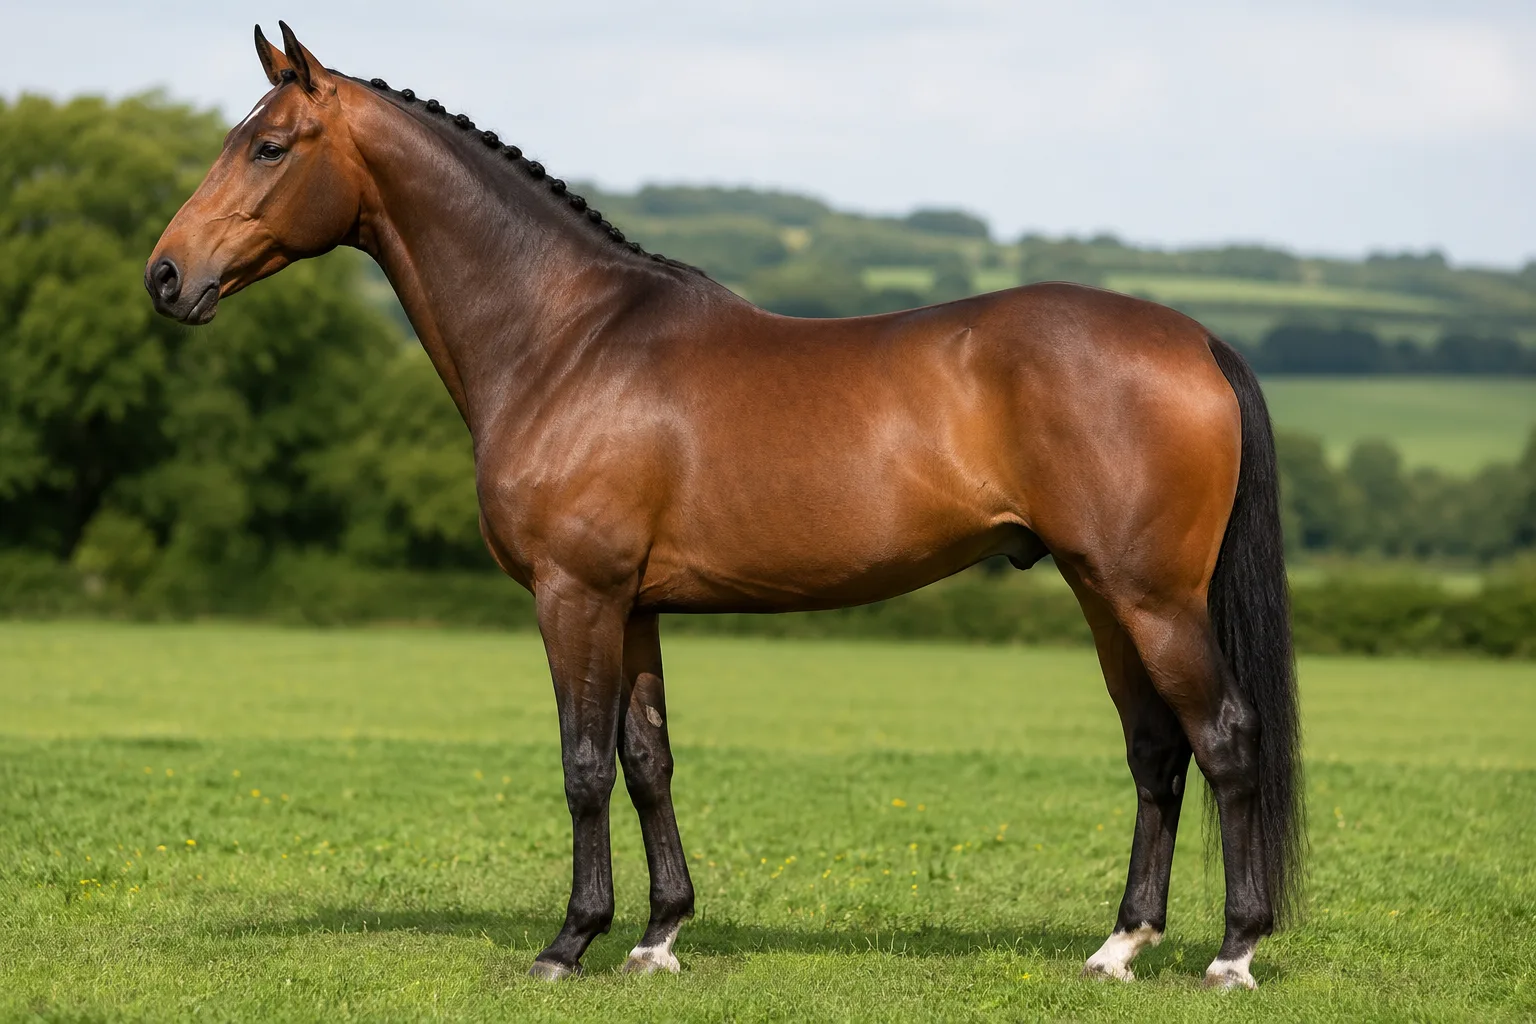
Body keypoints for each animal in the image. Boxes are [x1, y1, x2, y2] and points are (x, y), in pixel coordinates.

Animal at [146, 23, 1303, 989]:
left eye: (270, 146)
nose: (164, 275)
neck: (566, 338)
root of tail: (1197, 336)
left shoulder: (574, 596)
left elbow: (581, 766)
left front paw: (569, 941)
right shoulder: (634, 605)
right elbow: (648, 761)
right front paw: (658, 935)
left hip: (1152, 598)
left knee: (1224, 736)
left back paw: (1234, 953)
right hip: (1103, 594)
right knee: (1156, 752)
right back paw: (1119, 946)